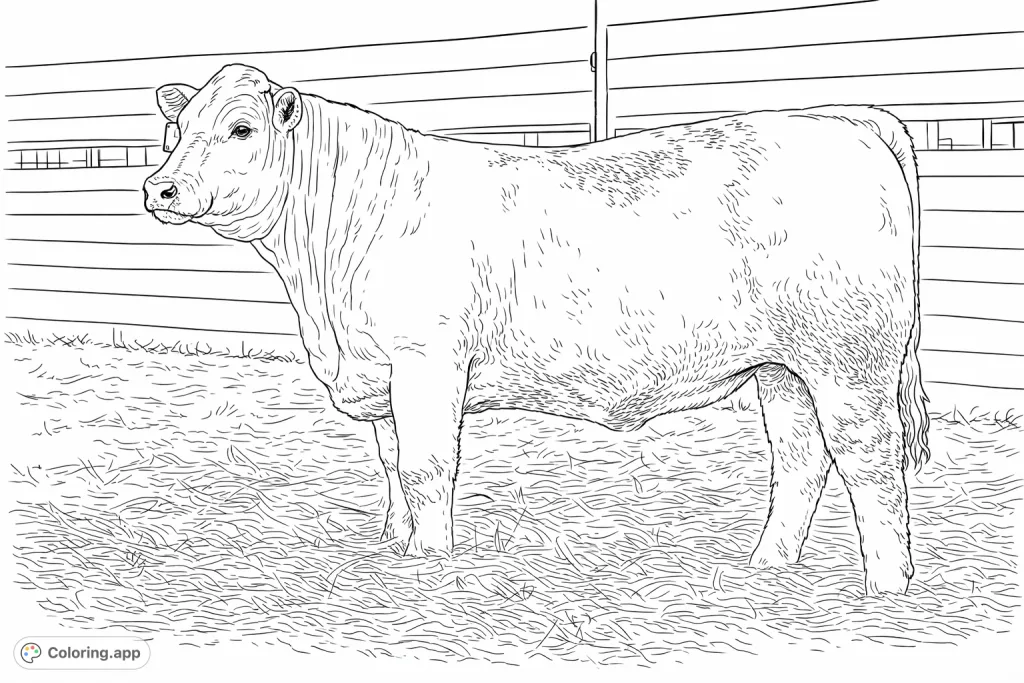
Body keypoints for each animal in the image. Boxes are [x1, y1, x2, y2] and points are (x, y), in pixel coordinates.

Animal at [144, 64, 930, 596]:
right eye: (177, 130)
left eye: (240, 129)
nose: (160, 187)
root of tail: (847, 117)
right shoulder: (381, 371)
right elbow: (393, 463)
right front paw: (395, 548)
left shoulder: (427, 359)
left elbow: (428, 465)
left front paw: (430, 560)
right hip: (783, 369)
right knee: (800, 460)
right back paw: (768, 566)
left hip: (848, 360)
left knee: (870, 462)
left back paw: (886, 589)